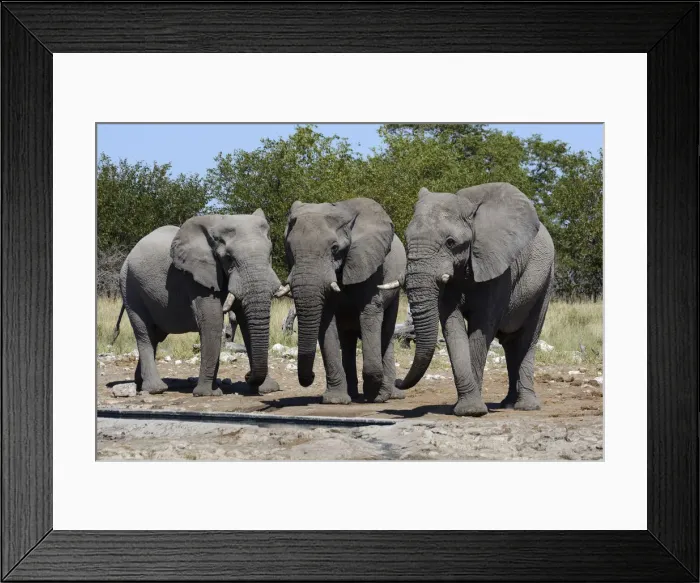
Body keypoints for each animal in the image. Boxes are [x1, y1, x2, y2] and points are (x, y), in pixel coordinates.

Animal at [112, 210, 286, 396]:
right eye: (229, 258)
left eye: (270, 253)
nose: (247, 376)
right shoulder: (195, 277)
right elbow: (212, 321)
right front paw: (207, 393)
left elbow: (246, 323)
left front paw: (268, 389)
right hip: (130, 287)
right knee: (144, 332)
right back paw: (155, 389)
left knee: (155, 336)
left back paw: (139, 382)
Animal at [280, 198, 407, 404]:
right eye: (289, 248)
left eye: (334, 248)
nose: (311, 376)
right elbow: (326, 322)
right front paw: (335, 400)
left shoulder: (369, 264)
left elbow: (370, 313)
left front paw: (376, 396)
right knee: (347, 339)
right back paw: (354, 395)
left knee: (385, 332)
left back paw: (391, 395)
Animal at [398, 183, 555, 417]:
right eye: (406, 239)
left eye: (450, 242)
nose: (398, 382)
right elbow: (452, 327)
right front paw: (464, 408)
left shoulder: (499, 269)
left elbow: (482, 326)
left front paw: (471, 410)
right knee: (510, 344)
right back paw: (507, 404)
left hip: (546, 279)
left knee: (528, 338)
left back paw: (526, 406)